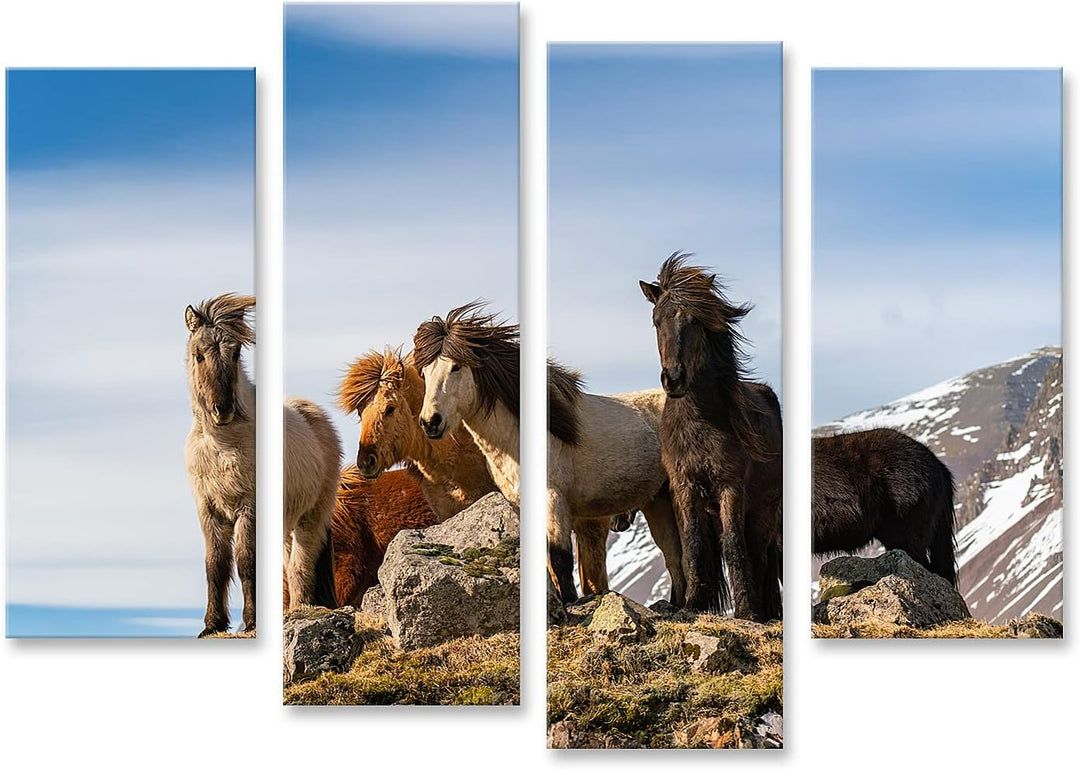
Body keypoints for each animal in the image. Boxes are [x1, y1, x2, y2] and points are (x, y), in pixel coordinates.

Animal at [412, 302, 685, 606]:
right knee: (675, 559)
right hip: (658, 501)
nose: (430, 422)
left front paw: (569, 603)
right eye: (424, 372)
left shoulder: (554, 500)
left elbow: (560, 560)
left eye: (456, 367)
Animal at [641, 253, 783, 621]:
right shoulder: (685, 486)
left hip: (763, 508)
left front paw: (746, 610)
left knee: (758, 552)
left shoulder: (730, 485)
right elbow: (692, 545)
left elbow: (734, 544)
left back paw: (764, 609)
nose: (674, 379)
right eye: (656, 321)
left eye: (694, 321)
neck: (700, 423)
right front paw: (693, 604)